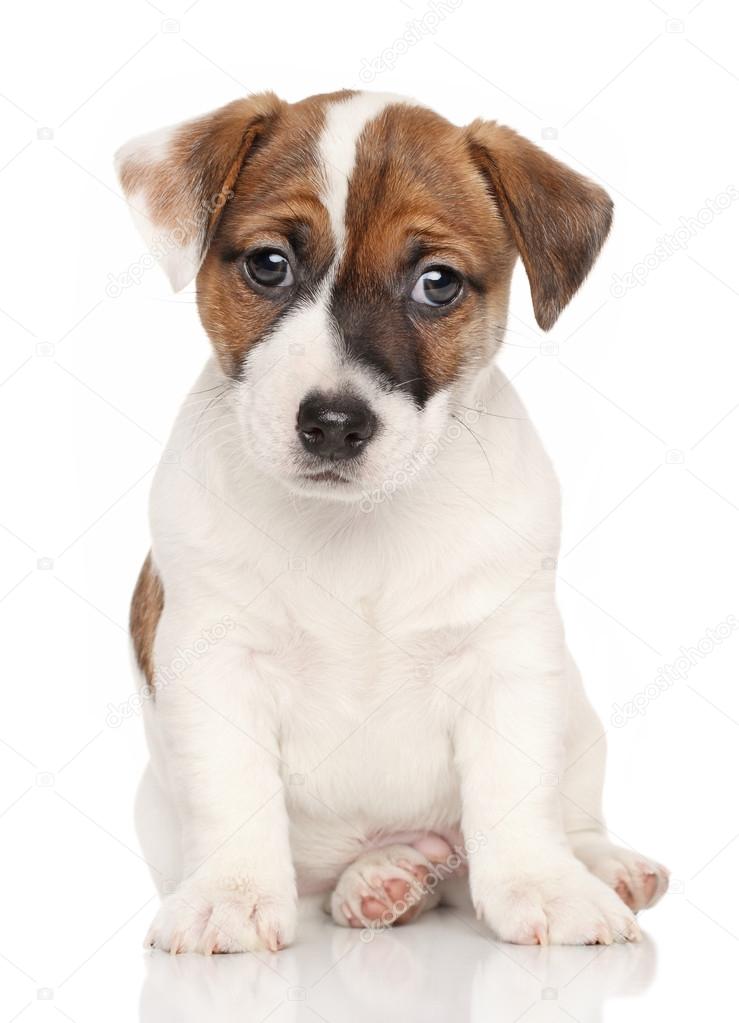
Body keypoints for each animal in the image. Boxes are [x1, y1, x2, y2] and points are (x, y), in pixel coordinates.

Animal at [116, 92, 667, 953]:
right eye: (268, 264)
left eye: (436, 283)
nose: (335, 424)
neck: (357, 525)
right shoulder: (216, 659)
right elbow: (233, 791)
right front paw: (231, 894)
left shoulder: (508, 658)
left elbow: (516, 791)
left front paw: (545, 884)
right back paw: (384, 879)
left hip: (576, 716)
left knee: (565, 809)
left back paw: (597, 863)